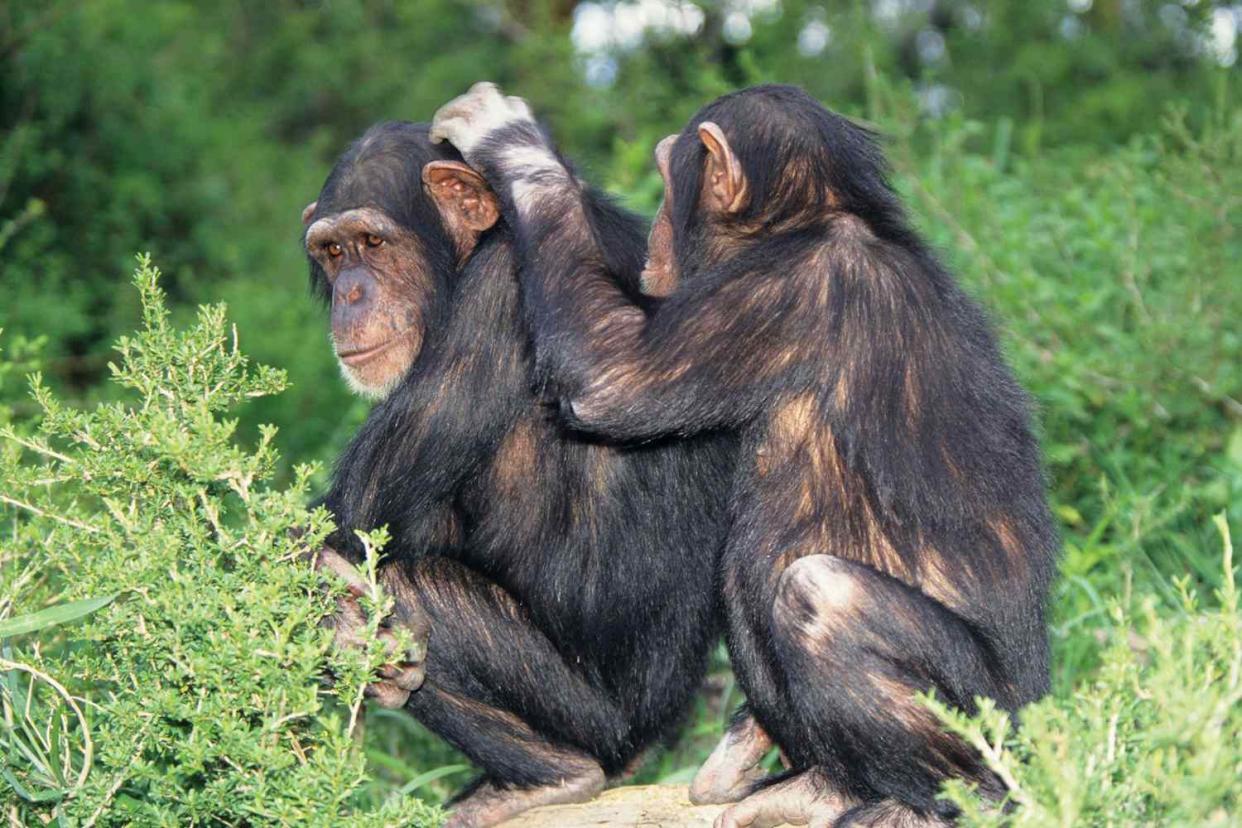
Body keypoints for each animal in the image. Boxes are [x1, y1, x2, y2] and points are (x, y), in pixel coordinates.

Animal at [299, 122, 730, 828]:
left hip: (594, 719)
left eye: (373, 243)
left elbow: (344, 528)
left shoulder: (495, 299)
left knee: (411, 588)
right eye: (333, 251)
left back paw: (553, 777)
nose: (350, 292)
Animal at [434, 84, 1058, 828]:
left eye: (667, 174)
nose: (653, 235)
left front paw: (505, 138)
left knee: (823, 597)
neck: (808, 226)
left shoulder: (785, 290)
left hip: (992, 721)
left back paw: (935, 802)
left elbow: (614, 376)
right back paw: (815, 785)